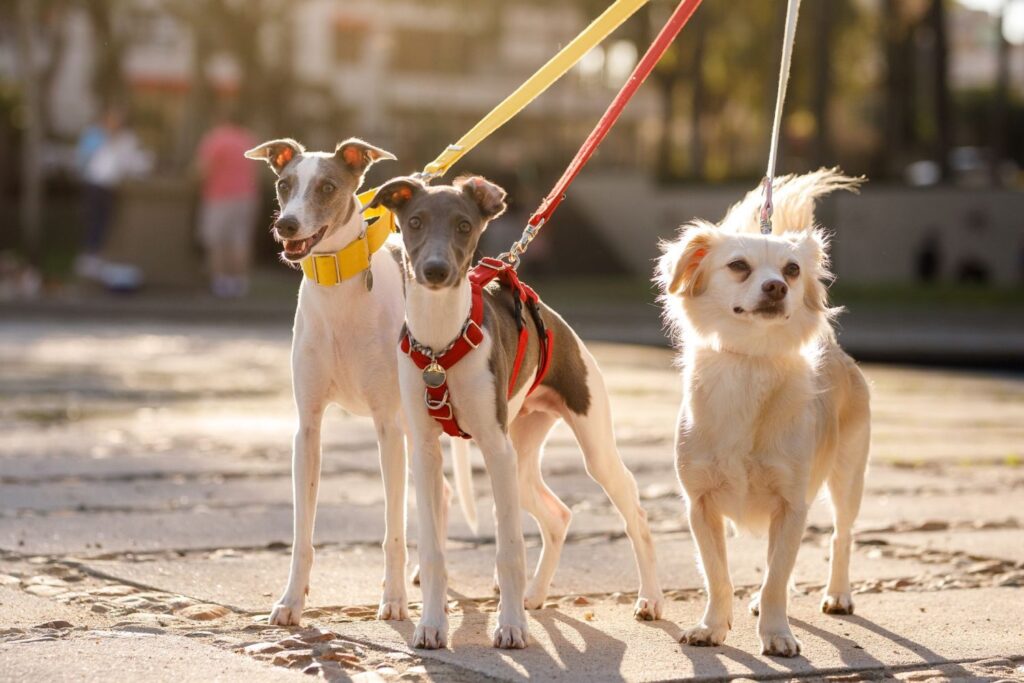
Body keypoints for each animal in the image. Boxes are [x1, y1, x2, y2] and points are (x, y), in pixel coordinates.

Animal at [247, 137, 475, 626]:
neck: (338, 289)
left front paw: (393, 600)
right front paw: (291, 601)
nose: (286, 225)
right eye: (283, 184)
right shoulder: (308, 428)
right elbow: (303, 533)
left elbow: (393, 530)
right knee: (442, 492)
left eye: (328, 186)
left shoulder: (387, 427)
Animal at [370, 175, 663, 651]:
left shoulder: (494, 449)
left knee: (633, 512)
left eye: (464, 225)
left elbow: (509, 550)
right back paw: (536, 595)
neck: (440, 345)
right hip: (520, 460)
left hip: (580, 450)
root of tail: (561, 324)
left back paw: (650, 599)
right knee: (559, 516)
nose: (435, 271)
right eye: (414, 222)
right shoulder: (427, 454)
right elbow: (433, 552)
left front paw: (510, 628)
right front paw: (430, 625)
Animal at [655, 169, 872, 655]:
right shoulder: (701, 505)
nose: (778, 287)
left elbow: (776, 575)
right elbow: (718, 574)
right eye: (738, 265)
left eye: (792, 270)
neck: (750, 363)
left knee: (841, 535)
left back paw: (838, 594)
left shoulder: (792, 504)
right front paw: (712, 627)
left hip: (848, 475)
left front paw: (776, 633)